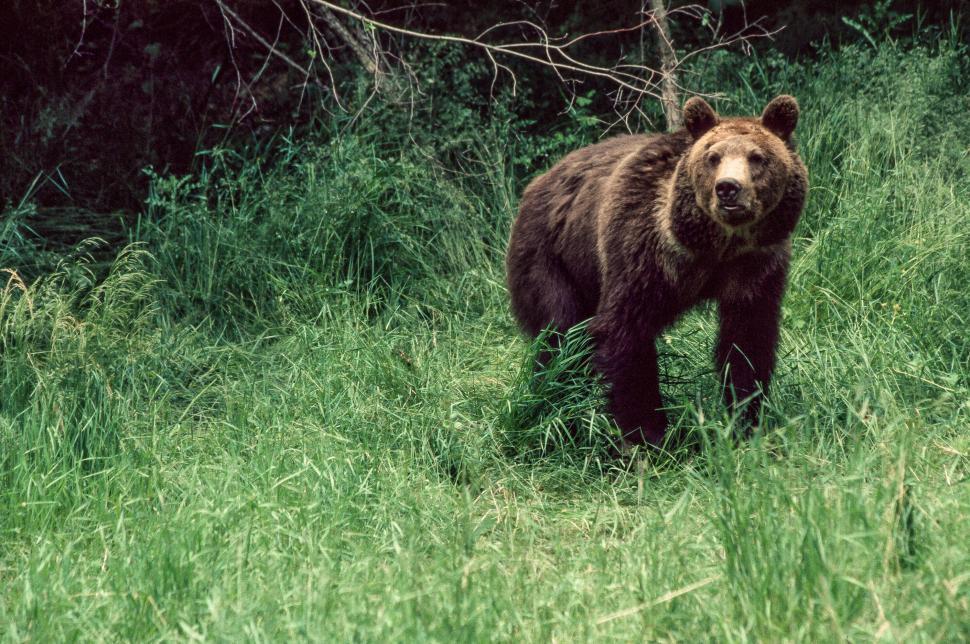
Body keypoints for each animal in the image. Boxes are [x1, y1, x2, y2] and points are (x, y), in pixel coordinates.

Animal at [505, 95, 808, 446]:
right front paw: (648, 435)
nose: (728, 188)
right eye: (713, 157)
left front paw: (746, 421)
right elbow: (625, 334)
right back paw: (555, 409)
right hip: (550, 258)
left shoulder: (755, 266)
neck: (712, 247)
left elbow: (747, 342)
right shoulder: (640, 251)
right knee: (561, 336)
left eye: (757, 157)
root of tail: (536, 183)